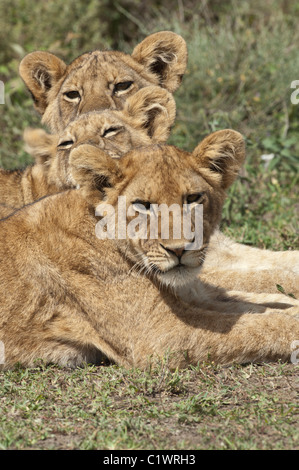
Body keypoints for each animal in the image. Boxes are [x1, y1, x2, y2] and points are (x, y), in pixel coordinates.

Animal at [1, 129, 298, 370]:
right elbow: (262, 325)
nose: (179, 250)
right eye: (142, 205)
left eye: (193, 198)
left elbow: (258, 303)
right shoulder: (159, 334)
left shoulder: (193, 294)